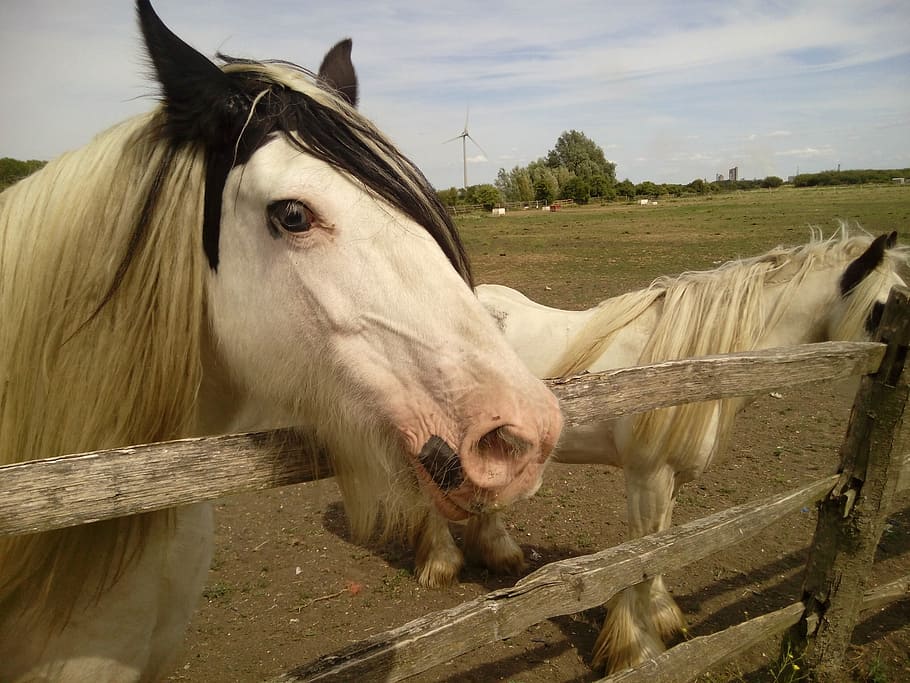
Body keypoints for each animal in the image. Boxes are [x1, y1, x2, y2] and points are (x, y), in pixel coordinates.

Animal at [415, 228, 906, 673]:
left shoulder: (672, 481)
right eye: (883, 307)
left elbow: (666, 546)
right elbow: (644, 557)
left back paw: (497, 551)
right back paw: (440, 565)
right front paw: (638, 650)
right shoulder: (648, 478)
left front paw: (662, 619)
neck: (691, 369)